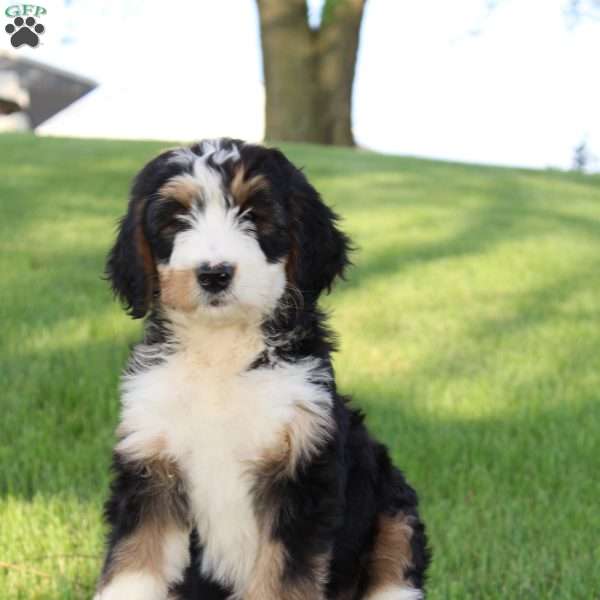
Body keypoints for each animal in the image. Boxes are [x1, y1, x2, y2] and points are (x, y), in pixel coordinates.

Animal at [96, 139, 428, 600]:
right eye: (177, 219)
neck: (221, 355)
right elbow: (133, 568)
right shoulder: (150, 468)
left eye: (254, 215)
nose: (214, 274)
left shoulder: (301, 472)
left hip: (394, 509)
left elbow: (285, 580)